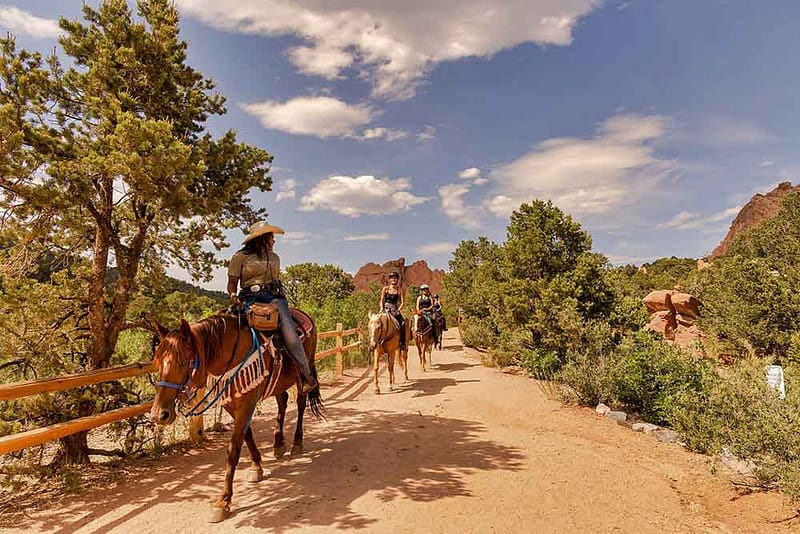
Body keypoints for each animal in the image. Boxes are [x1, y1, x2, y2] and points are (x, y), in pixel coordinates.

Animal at [150, 312, 322, 524]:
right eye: (158, 363)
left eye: (182, 362)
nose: (159, 414)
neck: (230, 354)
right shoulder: (231, 404)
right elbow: (247, 435)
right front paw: (256, 467)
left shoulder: (246, 404)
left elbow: (233, 450)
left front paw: (223, 501)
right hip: (278, 383)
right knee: (282, 402)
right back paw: (278, 443)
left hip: (303, 374)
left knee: (300, 402)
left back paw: (297, 442)